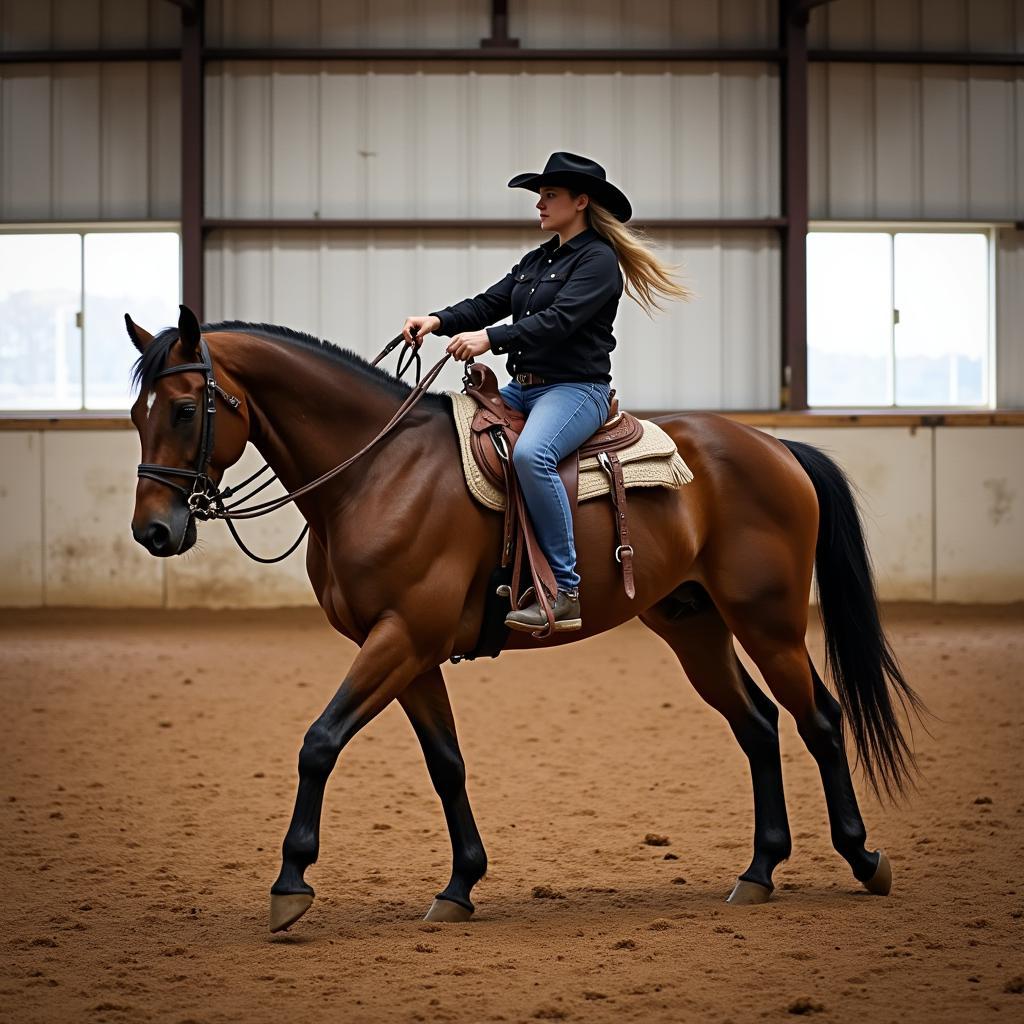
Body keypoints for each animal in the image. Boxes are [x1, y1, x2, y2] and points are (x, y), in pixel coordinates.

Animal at [123, 305, 925, 937]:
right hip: (693, 626)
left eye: (187, 409)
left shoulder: (401, 638)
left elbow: (319, 743)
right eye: (136, 414)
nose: (153, 531)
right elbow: (445, 763)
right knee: (757, 725)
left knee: (819, 719)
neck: (376, 471)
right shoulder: (409, 652)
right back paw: (758, 870)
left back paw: (862, 857)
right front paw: (459, 886)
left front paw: (291, 883)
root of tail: (776, 446)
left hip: (770, 623)